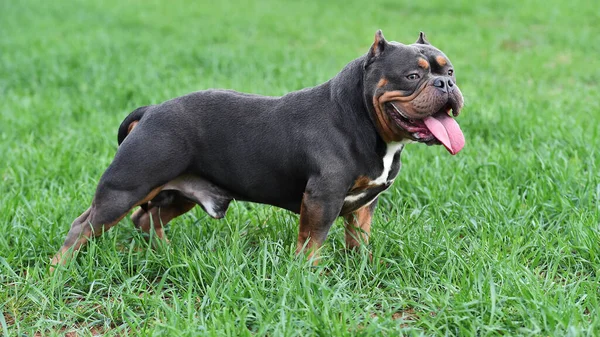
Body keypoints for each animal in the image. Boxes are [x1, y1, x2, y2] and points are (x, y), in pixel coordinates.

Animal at [50, 30, 464, 270]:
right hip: (126, 188)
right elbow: (312, 243)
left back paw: (165, 255)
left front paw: (361, 268)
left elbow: (358, 238)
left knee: (147, 219)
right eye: (413, 76)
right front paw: (308, 277)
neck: (361, 116)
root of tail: (151, 110)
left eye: (450, 71)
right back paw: (58, 272)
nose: (445, 84)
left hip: (177, 193)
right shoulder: (322, 199)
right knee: (84, 227)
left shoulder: (364, 204)